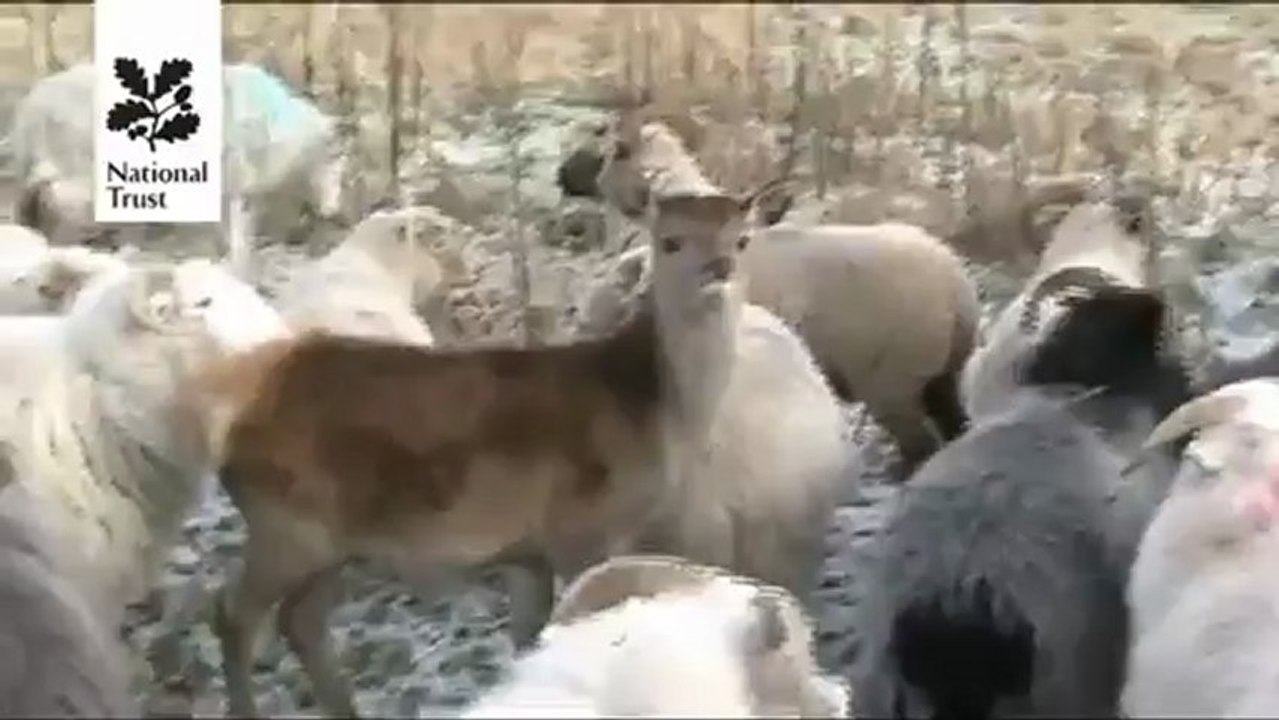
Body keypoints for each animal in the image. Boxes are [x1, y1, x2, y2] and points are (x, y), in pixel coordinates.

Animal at [9, 63, 346, 262]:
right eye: (335, 162)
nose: (333, 212)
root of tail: (33, 98)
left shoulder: (238, 194)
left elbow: (237, 238)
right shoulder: (230, 189)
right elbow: (234, 239)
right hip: (80, 180)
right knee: (50, 205)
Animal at [578, 112, 979, 478]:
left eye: (615, 152)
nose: (590, 180)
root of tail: (955, 283)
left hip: (893, 379)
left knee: (921, 445)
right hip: (942, 376)